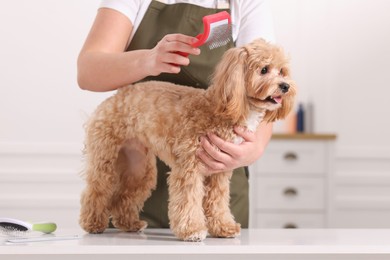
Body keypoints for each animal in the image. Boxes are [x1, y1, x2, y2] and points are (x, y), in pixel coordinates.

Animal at [80, 38, 298, 242]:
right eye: (264, 69)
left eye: (282, 71)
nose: (285, 86)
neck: (222, 109)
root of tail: (116, 97)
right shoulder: (189, 167)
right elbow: (188, 200)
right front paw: (192, 230)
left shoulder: (220, 171)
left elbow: (218, 202)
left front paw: (224, 228)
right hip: (105, 159)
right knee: (96, 191)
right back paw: (92, 223)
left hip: (138, 168)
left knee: (122, 197)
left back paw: (130, 224)